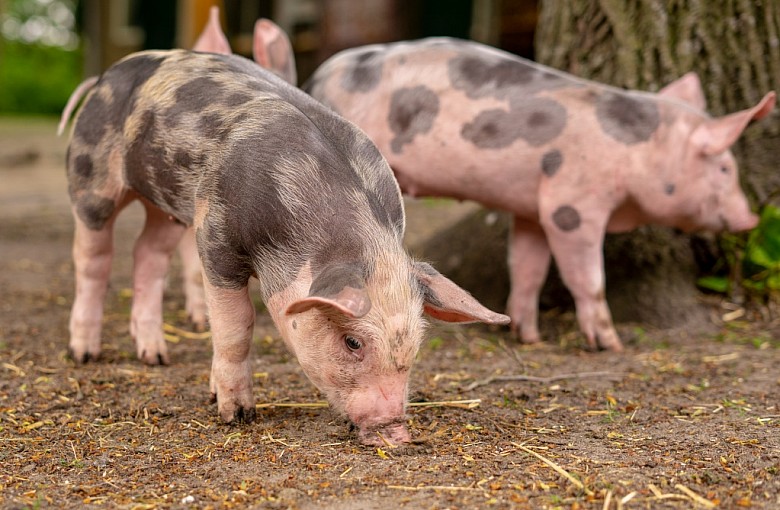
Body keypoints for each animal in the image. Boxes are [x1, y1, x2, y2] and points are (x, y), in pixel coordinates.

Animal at [59, 48, 509, 446]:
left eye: (415, 342)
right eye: (353, 342)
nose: (396, 432)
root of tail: (105, 77)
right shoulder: (214, 235)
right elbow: (236, 326)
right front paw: (236, 415)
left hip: (165, 204)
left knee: (147, 254)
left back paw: (155, 356)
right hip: (91, 180)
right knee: (92, 260)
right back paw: (84, 354)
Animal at [304, 37, 776, 351]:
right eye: (724, 167)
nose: (752, 217)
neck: (638, 150)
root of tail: (320, 77)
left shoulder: (531, 208)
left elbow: (528, 267)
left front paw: (526, 335)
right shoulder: (571, 205)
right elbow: (588, 278)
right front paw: (611, 345)